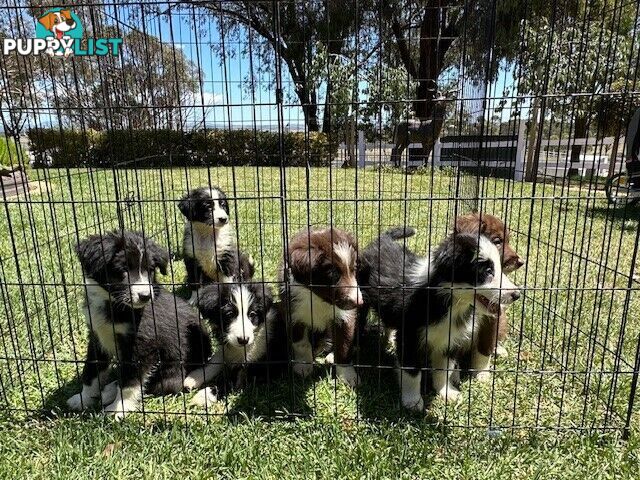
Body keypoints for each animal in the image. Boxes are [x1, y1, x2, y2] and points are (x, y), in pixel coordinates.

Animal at [68, 231, 212, 418]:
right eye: (123, 271)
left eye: (150, 270)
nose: (145, 296)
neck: (113, 304)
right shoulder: (97, 337)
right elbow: (91, 371)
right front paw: (82, 399)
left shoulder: (142, 346)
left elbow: (130, 381)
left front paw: (119, 408)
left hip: (173, 374)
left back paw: (108, 393)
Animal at [278, 227, 362, 388]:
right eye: (333, 274)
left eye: (353, 269)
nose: (358, 302)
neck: (317, 299)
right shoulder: (292, 312)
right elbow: (301, 344)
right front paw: (303, 366)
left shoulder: (345, 317)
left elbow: (344, 345)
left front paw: (347, 376)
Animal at [360, 228, 520, 408]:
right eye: (487, 271)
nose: (517, 295)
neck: (450, 303)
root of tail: (382, 240)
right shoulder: (410, 336)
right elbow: (412, 371)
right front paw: (412, 401)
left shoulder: (448, 340)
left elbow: (444, 370)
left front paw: (445, 392)